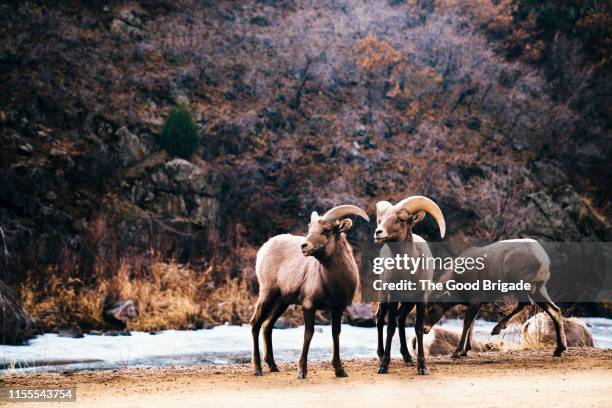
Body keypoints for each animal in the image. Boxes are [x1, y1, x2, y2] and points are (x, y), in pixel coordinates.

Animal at [250, 204, 368, 380]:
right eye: (310, 228)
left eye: (326, 230)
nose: (304, 246)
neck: (334, 284)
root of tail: (264, 248)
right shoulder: (309, 306)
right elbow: (308, 334)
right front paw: (302, 372)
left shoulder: (338, 309)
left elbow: (336, 334)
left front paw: (340, 371)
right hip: (267, 294)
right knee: (255, 324)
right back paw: (258, 369)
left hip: (282, 302)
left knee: (267, 326)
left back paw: (273, 366)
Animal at [372, 196, 444, 374]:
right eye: (381, 219)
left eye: (401, 219)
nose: (378, 232)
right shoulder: (392, 296)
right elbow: (390, 327)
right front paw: (384, 366)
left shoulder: (420, 299)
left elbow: (418, 328)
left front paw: (422, 367)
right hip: (383, 296)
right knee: (380, 318)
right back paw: (381, 354)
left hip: (408, 302)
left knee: (401, 318)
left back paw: (407, 356)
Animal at [424, 239, 568, 356]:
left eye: (432, 309)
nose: (424, 329)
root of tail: (543, 259)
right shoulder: (477, 303)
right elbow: (472, 323)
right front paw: (466, 350)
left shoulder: (476, 299)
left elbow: (467, 323)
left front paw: (458, 352)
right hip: (539, 289)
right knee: (555, 310)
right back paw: (559, 349)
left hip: (519, 282)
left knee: (527, 303)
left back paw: (496, 329)